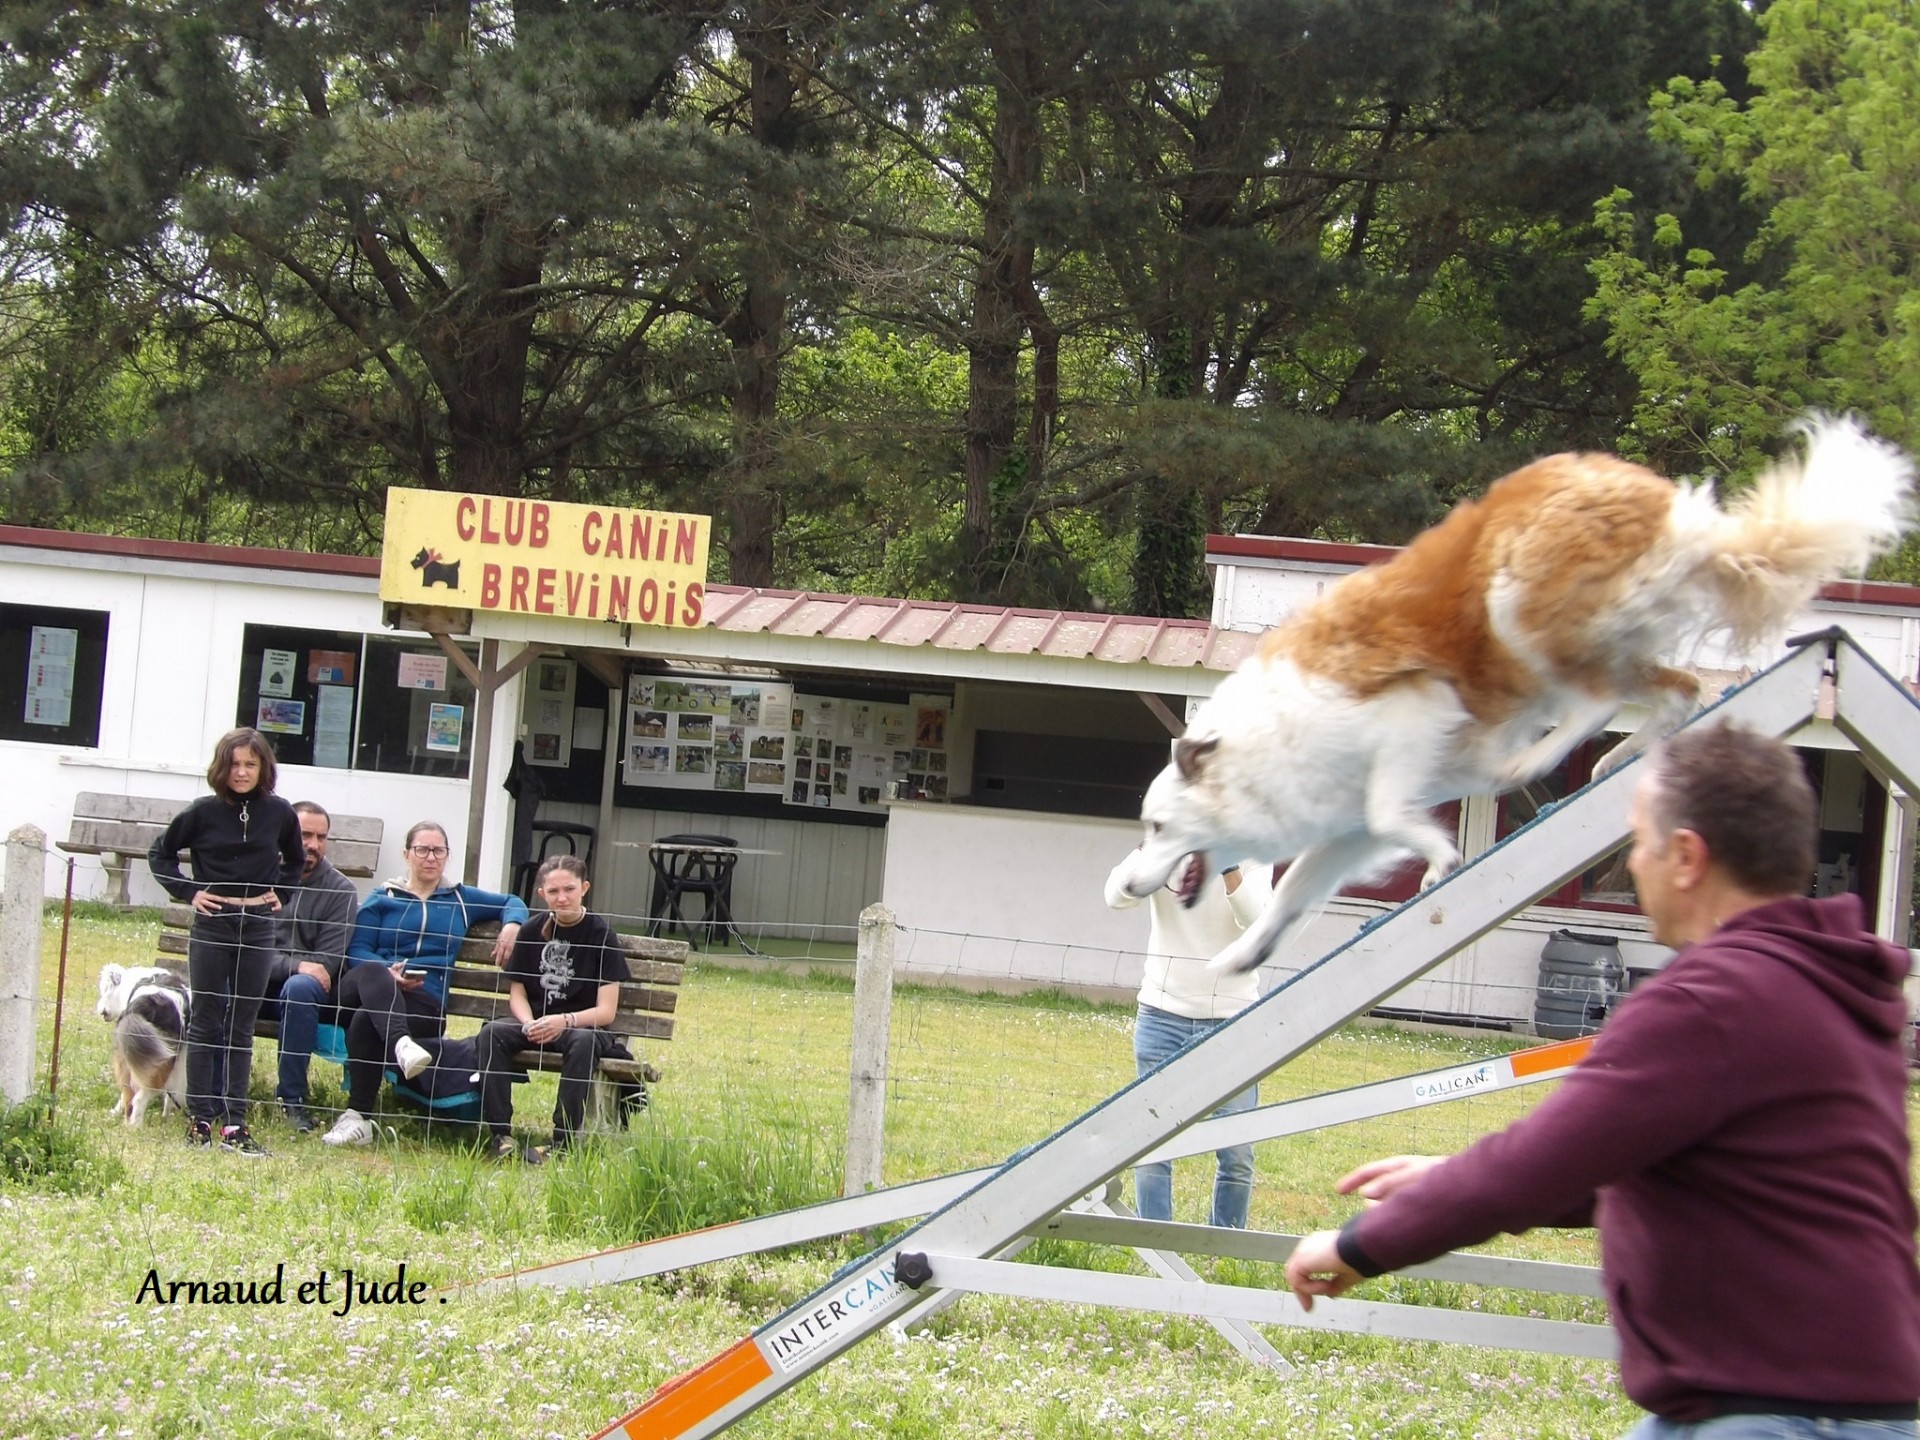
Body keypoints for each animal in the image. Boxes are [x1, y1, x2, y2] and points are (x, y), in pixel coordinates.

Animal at [96, 971, 190, 1128]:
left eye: (106, 990)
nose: (102, 1012)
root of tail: (148, 1002)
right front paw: (167, 1116)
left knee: (129, 1094)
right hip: (160, 1061)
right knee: (140, 1097)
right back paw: (136, 1126)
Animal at [1105, 416, 1912, 983]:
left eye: (1154, 827)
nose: (1128, 884)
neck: (1261, 750)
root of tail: (1661, 499)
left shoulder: (1412, 712)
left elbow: (1391, 811)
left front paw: (1439, 857)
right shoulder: (1341, 832)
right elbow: (1292, 895)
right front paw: (1240, 961)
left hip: (1518, 599)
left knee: (1593, 700)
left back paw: (1536, 761)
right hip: (1600, 636)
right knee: (1674, 691)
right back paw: (1614, 761)